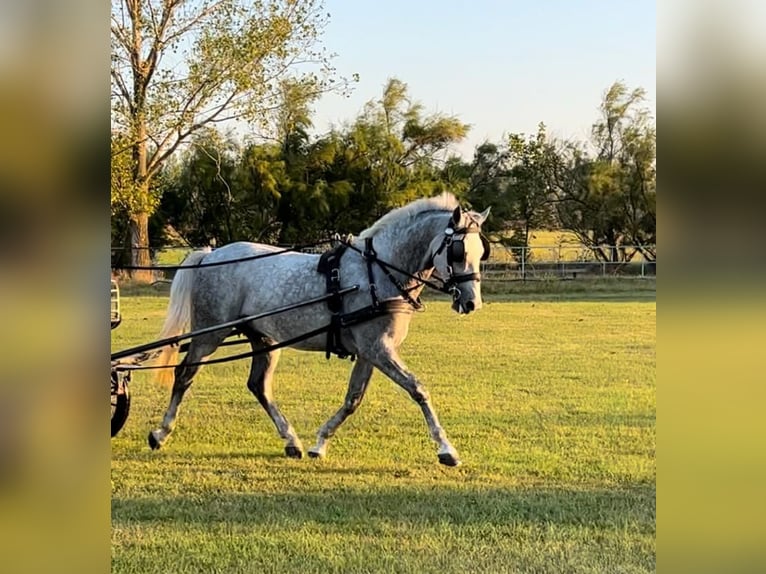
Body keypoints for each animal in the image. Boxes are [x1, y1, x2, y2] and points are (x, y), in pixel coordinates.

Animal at [148, 194, 492, 468]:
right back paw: (160, 433)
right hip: (208, 335)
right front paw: (447, 449)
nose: (472, 302)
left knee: (259, 386)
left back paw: (291, 441)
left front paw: (320, 443)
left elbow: (353, 398)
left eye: (481, 252)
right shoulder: (379, 349)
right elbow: (418, 389)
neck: (378, 272)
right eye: (458, 251)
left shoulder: (370, 352)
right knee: (185, 375)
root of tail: (210, 255)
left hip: (264, 339)